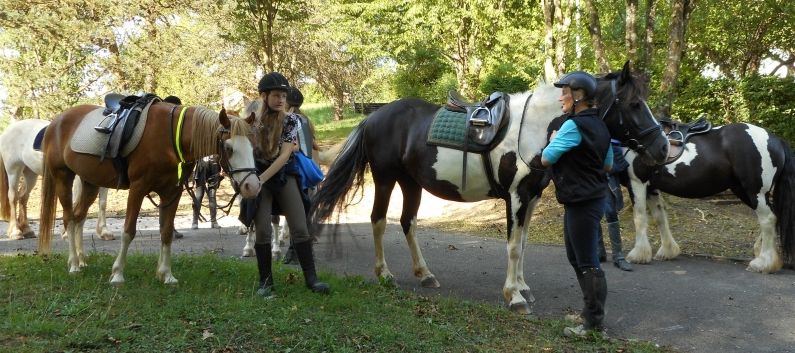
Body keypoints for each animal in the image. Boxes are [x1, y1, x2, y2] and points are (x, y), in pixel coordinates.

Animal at [37, 99, 262, 284]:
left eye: (255, 147)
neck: (171, 136)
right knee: (69, 218)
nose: (252, 186)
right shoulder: (138, 189)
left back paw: (81, 261)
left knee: (78, 218)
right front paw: (117, 274)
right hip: (63, 177)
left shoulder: (172, 192)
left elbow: (166, 232)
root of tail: (56, 122)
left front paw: (166, 274)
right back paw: (74, 264)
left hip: (90, 183)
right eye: (229, 148)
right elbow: (128, 231)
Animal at [310, 62, 672, 312]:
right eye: (635, 104)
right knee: (378, 221)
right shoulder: (516, 197)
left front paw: (523, 287)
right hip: (386, 179)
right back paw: (385, 274)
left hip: (411, 183)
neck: (535, 128)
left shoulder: (532, 197)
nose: (664, 149)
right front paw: (514, 296)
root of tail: (374, 116)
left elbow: (522, 243)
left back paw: (425, 274)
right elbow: (512, 246)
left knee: (408, 222)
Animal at [620, 121, 795, 272]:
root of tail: (776, 140)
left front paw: (638, 254)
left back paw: (762, 263)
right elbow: (659, 217)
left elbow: (639, 218)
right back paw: (762, 254)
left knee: (768, 219)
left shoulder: (637, 183)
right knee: (774, 216)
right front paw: (666, 251)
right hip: (745, 191)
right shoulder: (651, 188)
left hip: (756, 192)